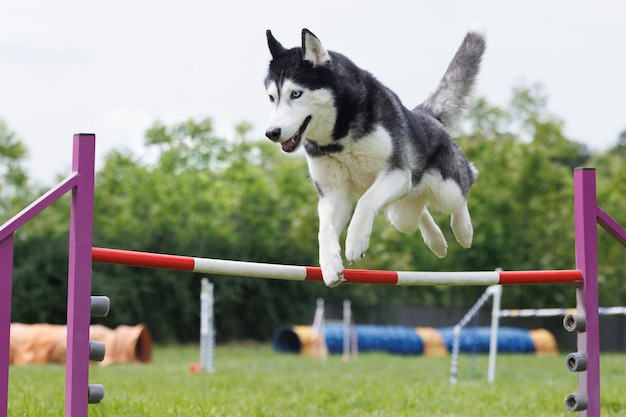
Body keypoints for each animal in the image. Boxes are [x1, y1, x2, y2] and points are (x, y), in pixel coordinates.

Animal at [264, 26, 482, 286]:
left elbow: (365, 201)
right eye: (271, 97)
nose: (271, 132)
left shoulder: (396, 173)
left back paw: (464, 229)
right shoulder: (334, 194)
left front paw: (355, 242)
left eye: (296, 93)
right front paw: (330, 265)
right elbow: (324, 230)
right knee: (418, 213)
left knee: (464, 186)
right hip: (401, 211)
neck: (339, 137)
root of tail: (426, 114)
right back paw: (436, 240)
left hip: (445, 189)